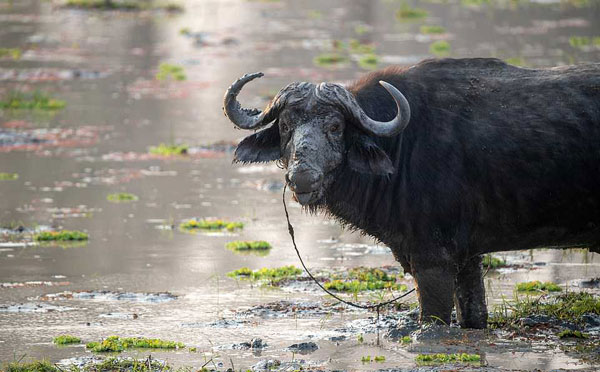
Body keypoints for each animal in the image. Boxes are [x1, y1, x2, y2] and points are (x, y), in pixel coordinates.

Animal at [221, 58, 600, 328]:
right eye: (286, 126)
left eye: (335, 126)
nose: (302, 177)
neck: (402, 145)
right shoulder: (468, 257)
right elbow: (474, 316)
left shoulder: (433, 259)